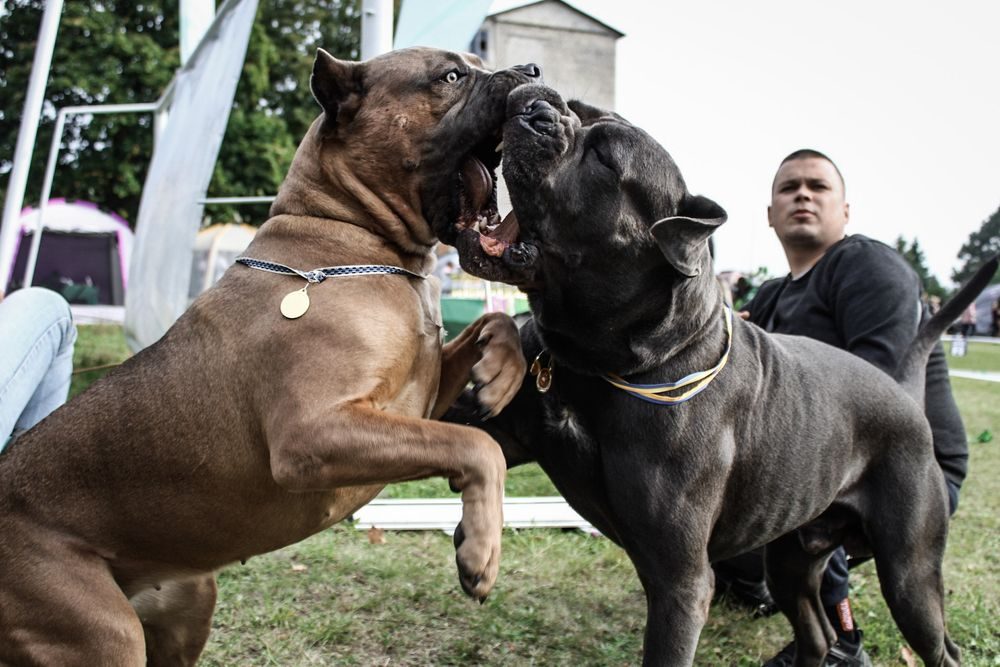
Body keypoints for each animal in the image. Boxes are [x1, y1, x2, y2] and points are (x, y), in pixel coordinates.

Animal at [0, 48, 540, 667]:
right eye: (450, 76)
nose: (531, 71)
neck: (351, 240)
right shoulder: (312, 434)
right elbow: (476, 446)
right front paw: (480, 549)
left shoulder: (418, 397)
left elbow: (494, 324)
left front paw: (500, 375)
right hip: (101, 633)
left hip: (188, 604)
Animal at [448, 85, 1000, 667]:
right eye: (579, 111)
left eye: (604, 158)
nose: (535, 102)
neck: (607, 363)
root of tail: (903, 394)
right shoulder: (509, 436)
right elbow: (476, 441)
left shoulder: (680, 584)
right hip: (791, 562)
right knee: (817, 633)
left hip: (908, 572)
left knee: (934, 644)